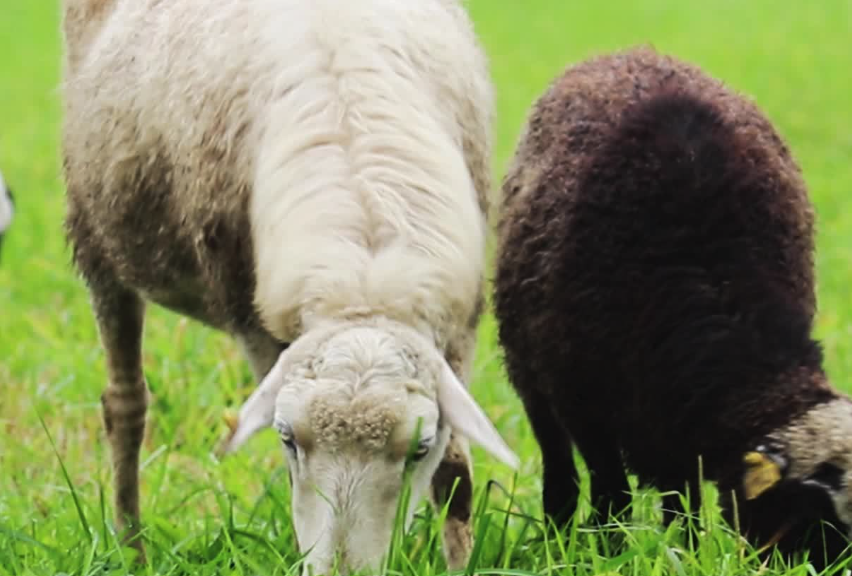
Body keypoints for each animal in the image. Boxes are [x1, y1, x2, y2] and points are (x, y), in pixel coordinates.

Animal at [61, 0, 520, 572]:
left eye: (419, 447)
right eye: (287, 438)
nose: (343, 570)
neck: (363, 278)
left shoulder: (458, 331)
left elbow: (455, 474)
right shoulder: (255, 323)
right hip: (97, 240)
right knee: (125, 406)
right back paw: (131, 549)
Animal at [492, 46, 852, 568]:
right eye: (814, 513)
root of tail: (629, 51)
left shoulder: (673, 412)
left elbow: (682, 500)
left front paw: (685, 551)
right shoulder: (586, 405)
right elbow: (612, 492)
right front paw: (608, 552)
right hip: (531, 376)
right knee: (560, 469)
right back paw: (557, 534)